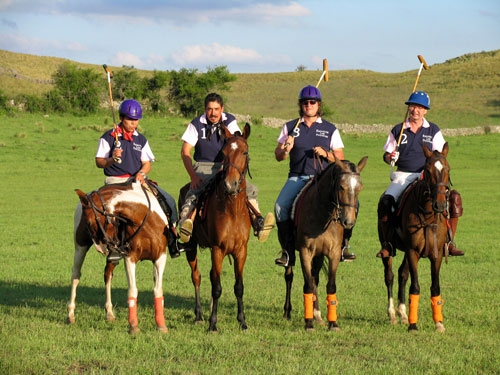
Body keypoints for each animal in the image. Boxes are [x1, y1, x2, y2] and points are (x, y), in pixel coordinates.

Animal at [67, 182, 171, 334]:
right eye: (87, 223)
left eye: (91, 222)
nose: (101, 248)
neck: (144, 220)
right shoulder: (130, 257)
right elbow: (133, 290)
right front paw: (133, 326)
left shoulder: (160, 257)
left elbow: (158, 290)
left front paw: (161, 325)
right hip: (80, 246)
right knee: (76, 275)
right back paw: (70, 314)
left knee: (107, 275)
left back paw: (109, 313)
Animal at [179, 123, 250, 332]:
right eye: (224, 153)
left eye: (244, 152)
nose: (230, 184)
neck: (233, 209)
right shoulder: (218, 249)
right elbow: (217, 287)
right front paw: (213, 323)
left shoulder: (241, 251)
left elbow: (238, 287)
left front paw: (242, 321)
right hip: (191, 247)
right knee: (197, 276)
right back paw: (199, 314)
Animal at [286, 156, 368, 332]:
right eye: (341, 187)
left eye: (359, 188)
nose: (348, 221)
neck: (322, 213)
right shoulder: (305, 252)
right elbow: (308, 285)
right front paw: (308, 324)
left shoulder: (334, 253)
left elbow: (330, 285)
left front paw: (333, 323)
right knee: (290, 277)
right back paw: (287, 312)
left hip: (318, 256)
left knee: (315, 278)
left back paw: (317, 315)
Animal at [382, 142, 454, 334]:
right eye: (428, 170)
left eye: (448, 169)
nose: (440, 205)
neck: (428, 214)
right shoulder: (413, 251)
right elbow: (415, 287)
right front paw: (414, 326)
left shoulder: (436, 254)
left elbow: (435, 287)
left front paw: (439, 323)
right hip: (388, 249)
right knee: (390, 276)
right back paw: (392, 315)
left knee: (402, 274)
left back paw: (403, 314)